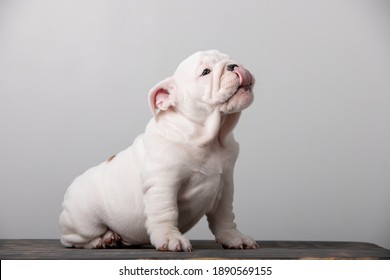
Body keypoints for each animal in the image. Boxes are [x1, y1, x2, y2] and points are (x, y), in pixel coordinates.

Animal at [59, 50, 258, 252]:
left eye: (230, 59)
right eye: (205, 72)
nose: (233, 65)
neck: (210, 138)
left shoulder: (225, 185)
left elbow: (225, 216)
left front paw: (234, 237)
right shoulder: (163, 184)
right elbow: (167, 212)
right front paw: (171, 238)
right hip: (85, 222)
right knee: (73, 239)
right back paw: (101, 240)